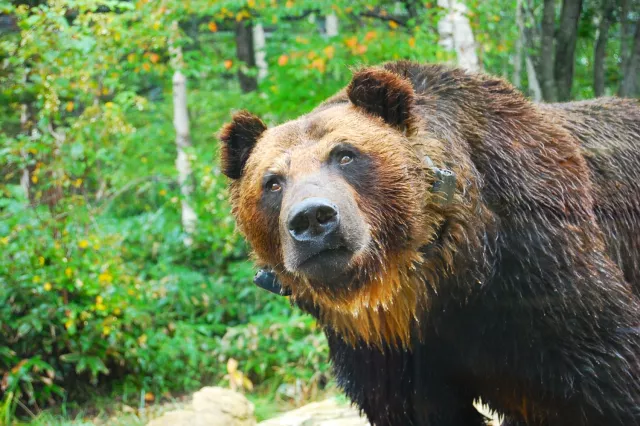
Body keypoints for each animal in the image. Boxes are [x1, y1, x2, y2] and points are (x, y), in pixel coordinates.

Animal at [218, 61, 640, 426]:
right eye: (273, 182)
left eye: (345, 155)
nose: (312, 218)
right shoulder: (386, 352)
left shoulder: (540, 270)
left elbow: (611, 370)